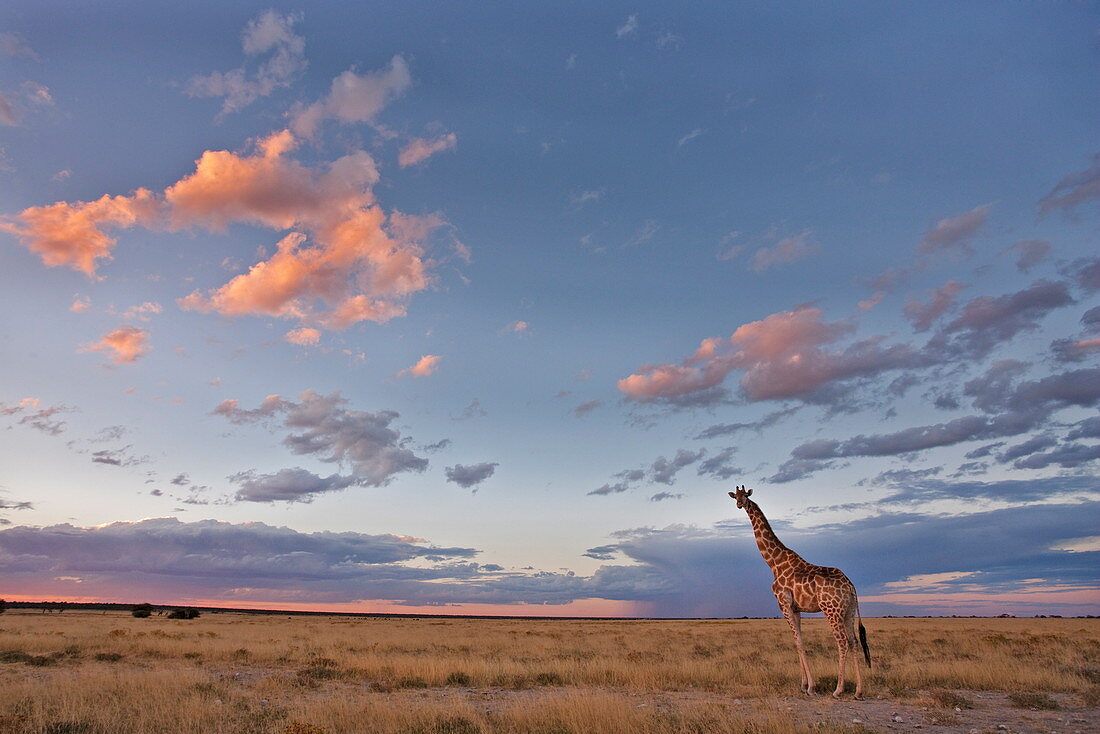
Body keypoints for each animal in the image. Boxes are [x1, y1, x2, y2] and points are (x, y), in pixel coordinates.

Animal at [726, 484, 871, 699]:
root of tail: (851, 587)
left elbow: (799, 643)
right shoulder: (797, 608)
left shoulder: (784, 603)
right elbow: (799, 641)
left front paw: (811, 687)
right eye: (735, 495)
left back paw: (838, 689)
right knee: (854, 641)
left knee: (842, 642)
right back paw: (858, 691)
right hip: (848, 611)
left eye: (745, 495)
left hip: (831, 610)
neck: (774, 563)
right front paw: (803, 685)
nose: (739, 504)